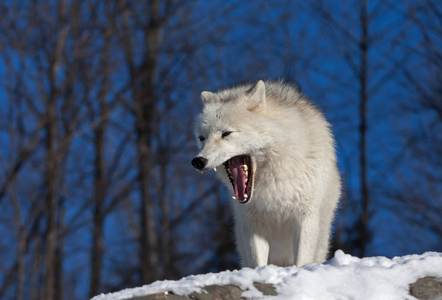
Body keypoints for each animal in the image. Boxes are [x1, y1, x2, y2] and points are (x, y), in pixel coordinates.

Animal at [191, 80, 342, 268]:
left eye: (226, 133)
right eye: (202, 138)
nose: (198, 161)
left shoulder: (305, 219)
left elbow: (301, 261)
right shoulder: (253, 226)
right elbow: (258, 263)